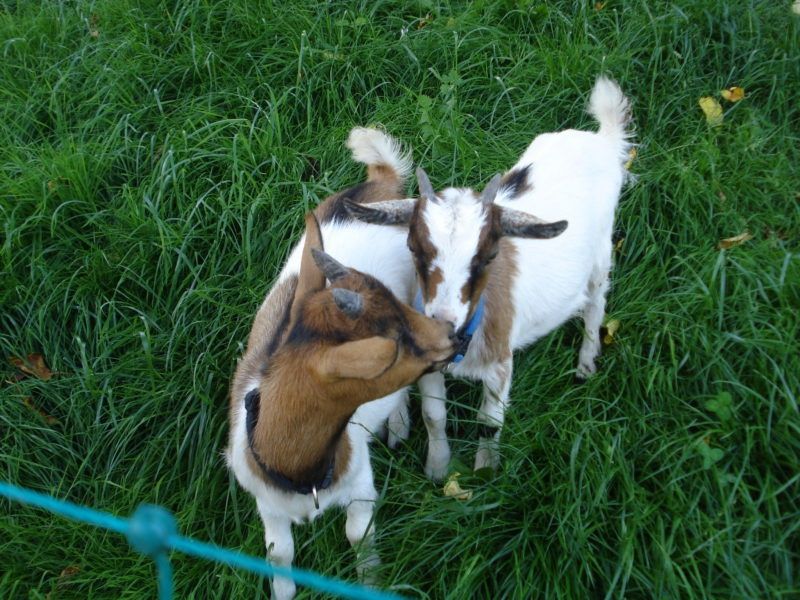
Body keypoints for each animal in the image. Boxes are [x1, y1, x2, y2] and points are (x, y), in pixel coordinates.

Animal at [228, 129, 454, 596]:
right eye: (394, 345)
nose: (451, 336)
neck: (304, 478)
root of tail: (382, 187)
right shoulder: (266, 503)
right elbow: (279, 553)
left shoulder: (362, 484)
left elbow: (358, 535)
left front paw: (370, 582)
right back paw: (397, 426)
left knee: (435, 412)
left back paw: (437, 465)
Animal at [346, 77, 636, 478]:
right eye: (414, 248)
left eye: (489, 257)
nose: (443, 323)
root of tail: (602, 140)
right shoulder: (429, 365)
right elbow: (434, 416)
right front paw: (438, 469)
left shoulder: (500, 366)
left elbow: (490, 423)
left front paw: (484, 471)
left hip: (601, 253)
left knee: (595, 305)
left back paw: (585, 363)